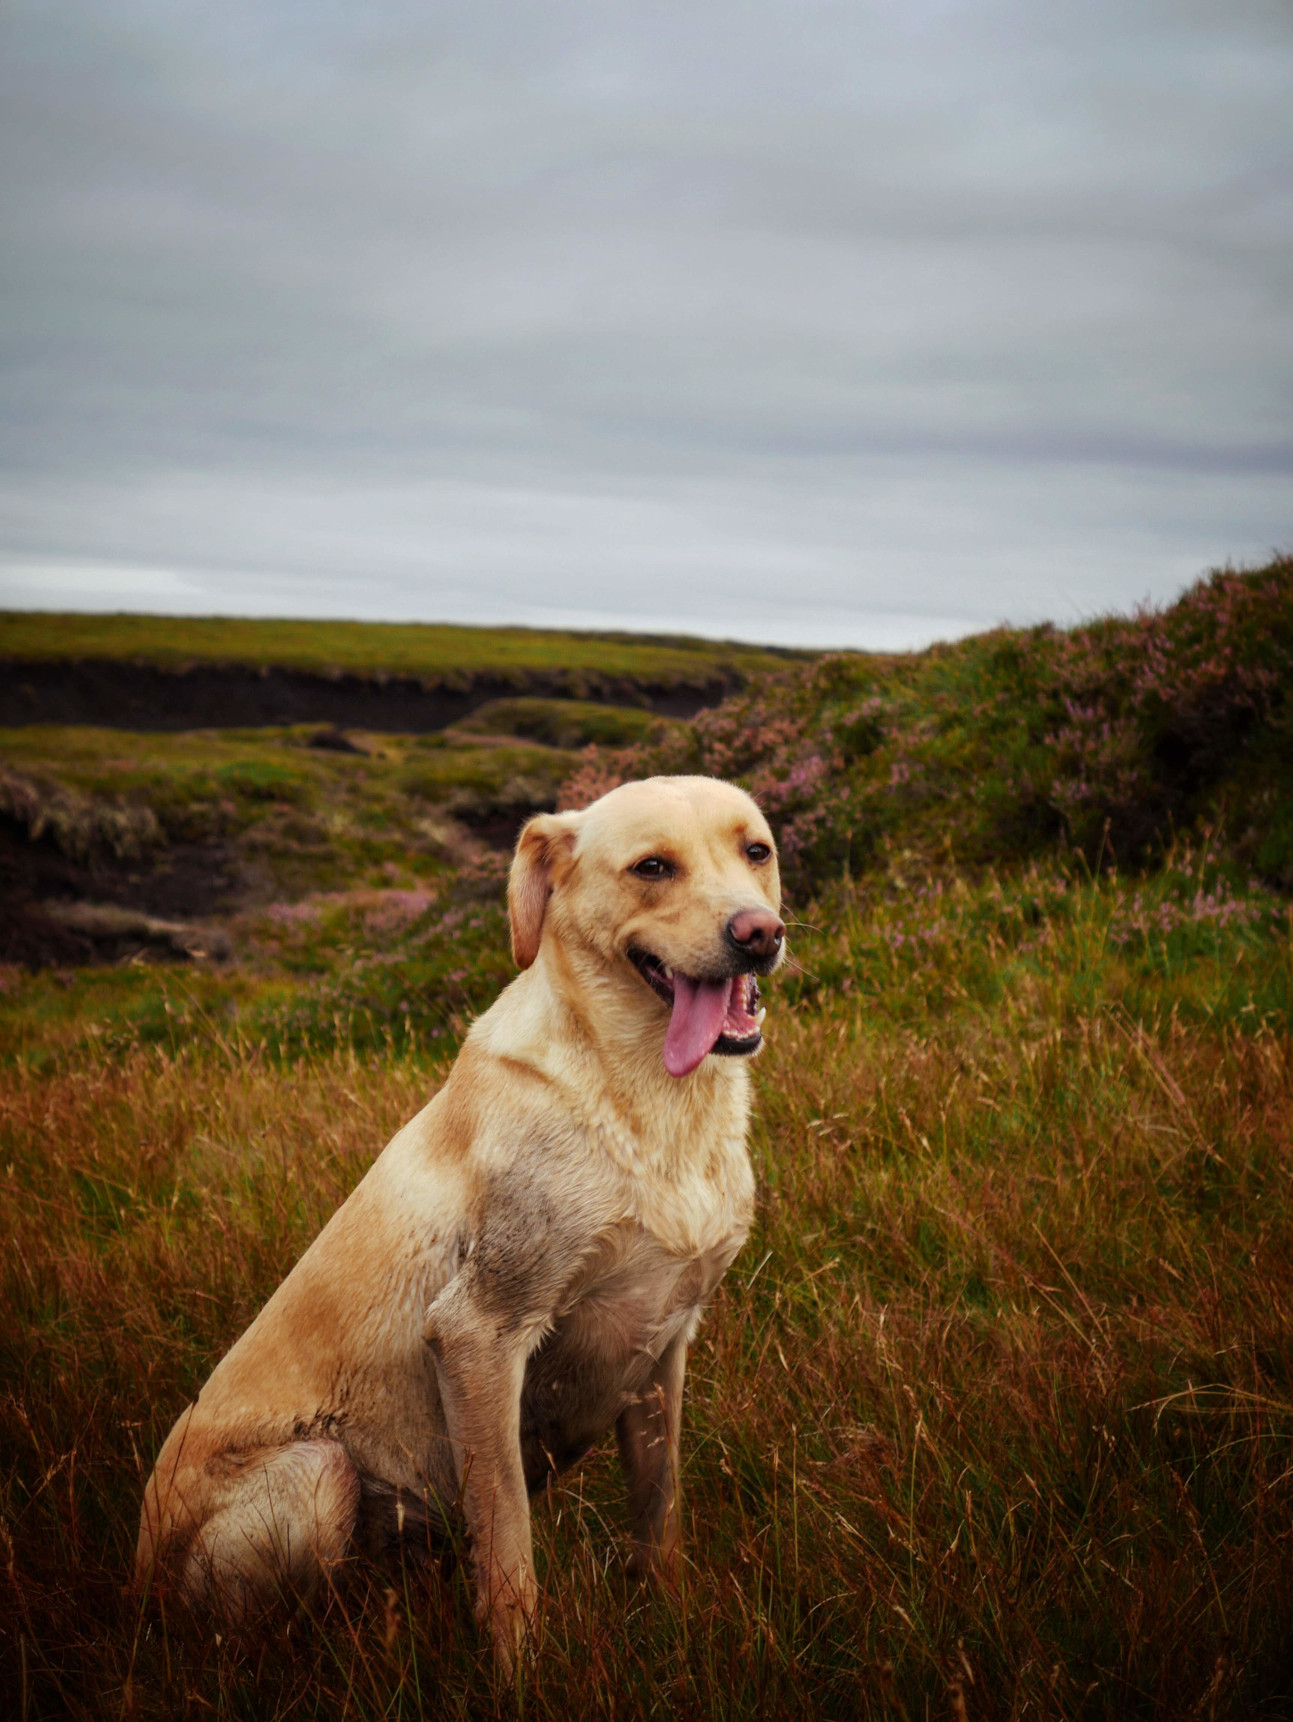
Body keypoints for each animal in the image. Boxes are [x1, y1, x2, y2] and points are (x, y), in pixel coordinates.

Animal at [141, 778, 788, 1666]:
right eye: (652, 868)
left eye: (755, 851)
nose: (759, 935)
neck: (649, 1101)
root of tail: (134, 1581)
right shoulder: (481, 1334)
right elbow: (508, 1542)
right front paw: (519, 1673)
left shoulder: (663, 1348)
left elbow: (659, 1517)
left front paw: (672, 1626)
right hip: (318, 1472)